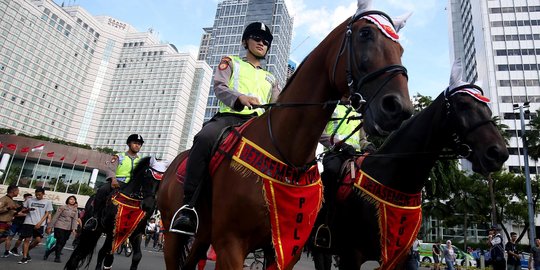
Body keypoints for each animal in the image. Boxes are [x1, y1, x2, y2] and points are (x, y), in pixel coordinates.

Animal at [157, 6, 414, 270]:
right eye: (365, 34)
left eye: (401, 50)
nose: (398, 108)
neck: (286, 153)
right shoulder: (230, 245)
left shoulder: (286, 248)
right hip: (172, 236)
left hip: (202, 238)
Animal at [314, 68, 508, 270]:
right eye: (462, 105)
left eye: (488, 109)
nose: (498, 153)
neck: (390, 177)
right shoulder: (351, 255)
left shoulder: (399, 255)